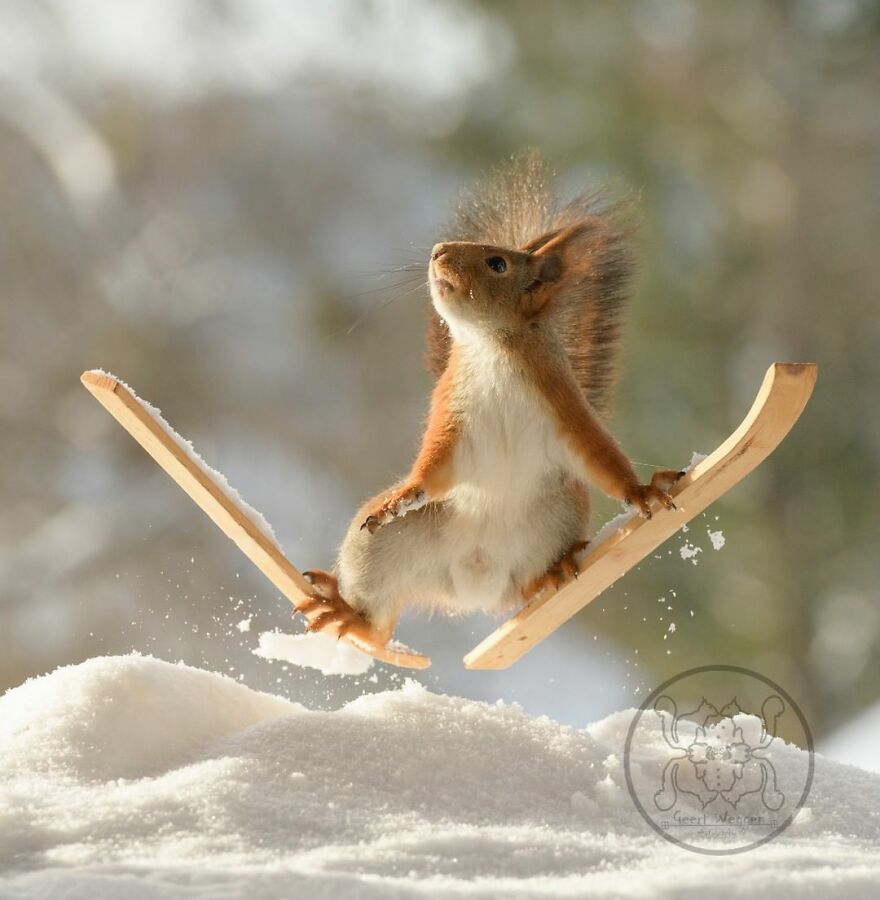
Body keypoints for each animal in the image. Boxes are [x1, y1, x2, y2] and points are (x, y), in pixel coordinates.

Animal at [299, 152, 682, 649]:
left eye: (497, 263)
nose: (437, 251)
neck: (489, 347)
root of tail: (472, 591)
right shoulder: (451, 413)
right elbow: (432, 467)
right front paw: (405, 493)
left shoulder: (562, 404)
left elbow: (599, 455)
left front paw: (642, 492)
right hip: (379, 548)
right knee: (378, 626)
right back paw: (348, 614)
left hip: (557, 519)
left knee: (524, 588)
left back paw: (555, 571)